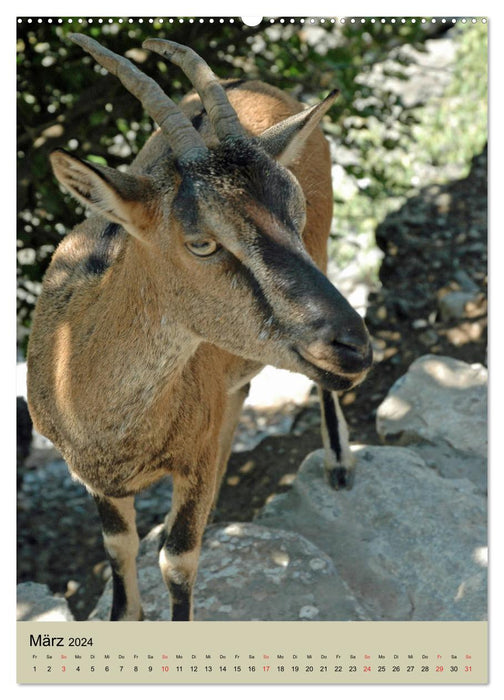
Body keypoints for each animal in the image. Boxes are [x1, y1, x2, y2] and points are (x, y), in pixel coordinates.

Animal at [28, 35, 374, 620]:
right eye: (201, 242)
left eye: (294, 213)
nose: (353, 346)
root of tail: (252, 82)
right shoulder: (95, 479)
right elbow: (119, 548)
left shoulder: (194, 461)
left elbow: (178, 559)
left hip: (326, 250)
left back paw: (340, 463)